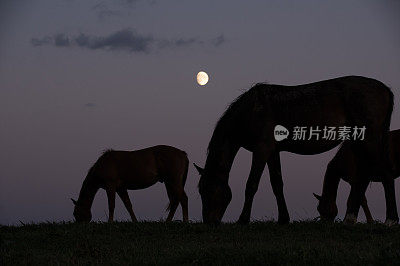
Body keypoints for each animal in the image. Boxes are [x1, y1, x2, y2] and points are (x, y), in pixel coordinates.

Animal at [195, 76, 396, 225]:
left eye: (208, 189)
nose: (209, 222)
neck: (251, 110)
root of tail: (385, 88)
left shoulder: (261, 150)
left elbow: (251, 184)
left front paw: (243, 220)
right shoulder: (272, 152)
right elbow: (277, 184)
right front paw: (283, 219)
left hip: (369, 140)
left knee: (385, 174)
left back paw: (391, 220)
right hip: (358, 142)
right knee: (363, 176)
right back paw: (350, 218)